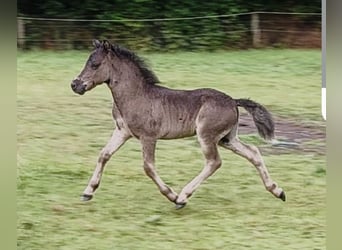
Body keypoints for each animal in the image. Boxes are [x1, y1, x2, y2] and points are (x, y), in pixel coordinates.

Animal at [71, 39, 284, 209]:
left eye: (95, 64)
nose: (75, 85)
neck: (135, 95)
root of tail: (233, 101)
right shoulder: (122, 131)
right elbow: (104, 155)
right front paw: (88, 191)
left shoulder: (148, 137)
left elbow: (148, 167)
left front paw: (172, 195)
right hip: (226, 138)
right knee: (253, 152)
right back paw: (277, 190)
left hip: (206, 135)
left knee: (214, 162)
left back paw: (182, 197)